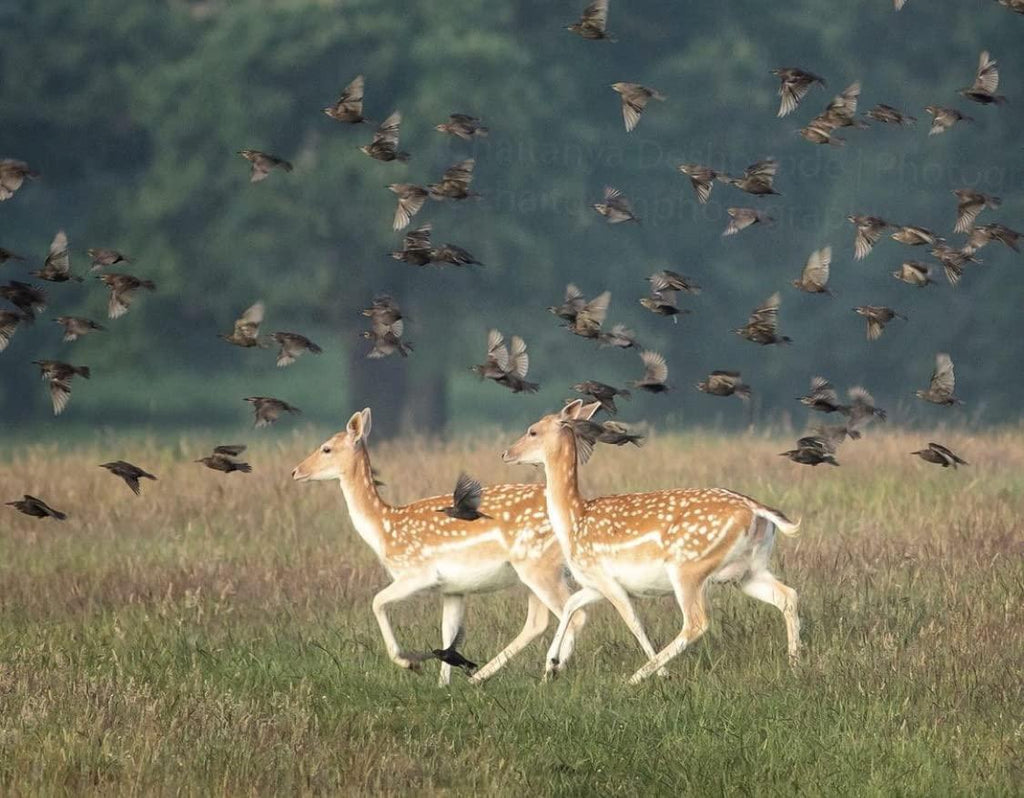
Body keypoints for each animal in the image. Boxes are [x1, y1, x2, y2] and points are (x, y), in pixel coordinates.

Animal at [291, 408, 586, 686]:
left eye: (326, 448)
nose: (295, 471)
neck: (385, 529)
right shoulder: (453, 588)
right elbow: (448, 632)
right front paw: (442, 684)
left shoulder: (417, 571)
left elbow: (377, 601)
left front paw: (410, 663)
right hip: (535, 571)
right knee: (538, 621)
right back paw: (485, 677)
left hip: (539, 565)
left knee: (573, 614)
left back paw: (551, 671)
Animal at [501, 399, 802, 685]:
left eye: (533, 430)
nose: (505, 453)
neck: (574, 520)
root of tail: (756, 510)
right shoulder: (594, 583)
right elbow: (572, 605)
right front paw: (550, 667)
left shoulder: (606, 579)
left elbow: (633, 622)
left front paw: (662, 673)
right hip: (748, 570)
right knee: (787, 595)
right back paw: (795, 663)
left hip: (689, 567)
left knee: (696, 622)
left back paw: (636, 677)